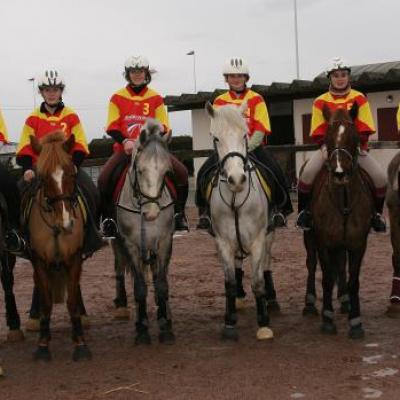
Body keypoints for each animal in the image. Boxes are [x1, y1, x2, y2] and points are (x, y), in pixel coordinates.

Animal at [27, 132, 91, 362]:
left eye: (71, 173)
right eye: (43, 177)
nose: (67, 224)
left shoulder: (74, 259)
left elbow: (71, 301)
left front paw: (80, 344)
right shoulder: (39, 262)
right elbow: (46, 303)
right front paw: (42, 345)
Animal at [111, 119, 176, 344]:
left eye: (166, 172)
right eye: (139, 170)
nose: (152, 213)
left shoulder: (164, 241)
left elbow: (162, 283)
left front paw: (165, 326)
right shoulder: (130, 244)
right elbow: (139, 288)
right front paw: (142, 329)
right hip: (117, 243)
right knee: (119, 268)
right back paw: (122, 305)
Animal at [206, 101, 276, 340]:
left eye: (244, 135)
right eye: (216, 138)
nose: (237, 180)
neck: (236, 199)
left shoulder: (258, 240)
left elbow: (257, 281)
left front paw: (264, 323)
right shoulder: (223, 242)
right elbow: (228, 282)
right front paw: (229, 322)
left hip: (269, 235)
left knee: (266, 265)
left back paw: (272, 299)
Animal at [306, 104, 376, 340]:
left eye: (353, 136)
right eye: (327, 136)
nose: (339, 173)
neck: (343, 200)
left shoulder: (358, 244)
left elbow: (354, 280)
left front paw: (356, 321)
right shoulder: (324, 242)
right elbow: (327, 277)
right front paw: (327, 319)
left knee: (341, 266)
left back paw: (345, 302)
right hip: (310, 238)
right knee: (312, 265)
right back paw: (310, 304)